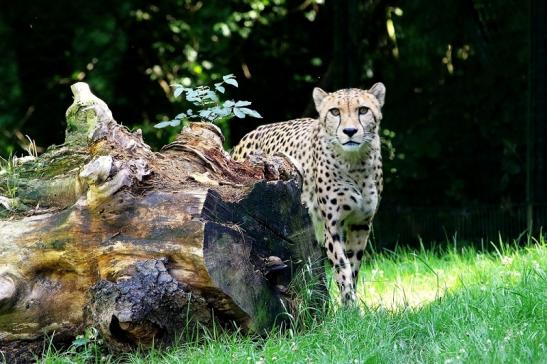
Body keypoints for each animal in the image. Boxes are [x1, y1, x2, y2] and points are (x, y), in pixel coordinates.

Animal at [231, 83, 386, 304]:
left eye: (363, 110)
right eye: (335, 112)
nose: (350, 131)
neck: (355, 163)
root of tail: (253, 131)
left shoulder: (360, 224)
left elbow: (354, 266)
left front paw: (350, 302)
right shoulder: (332, 225)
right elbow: (342, 267)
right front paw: (350, 306)